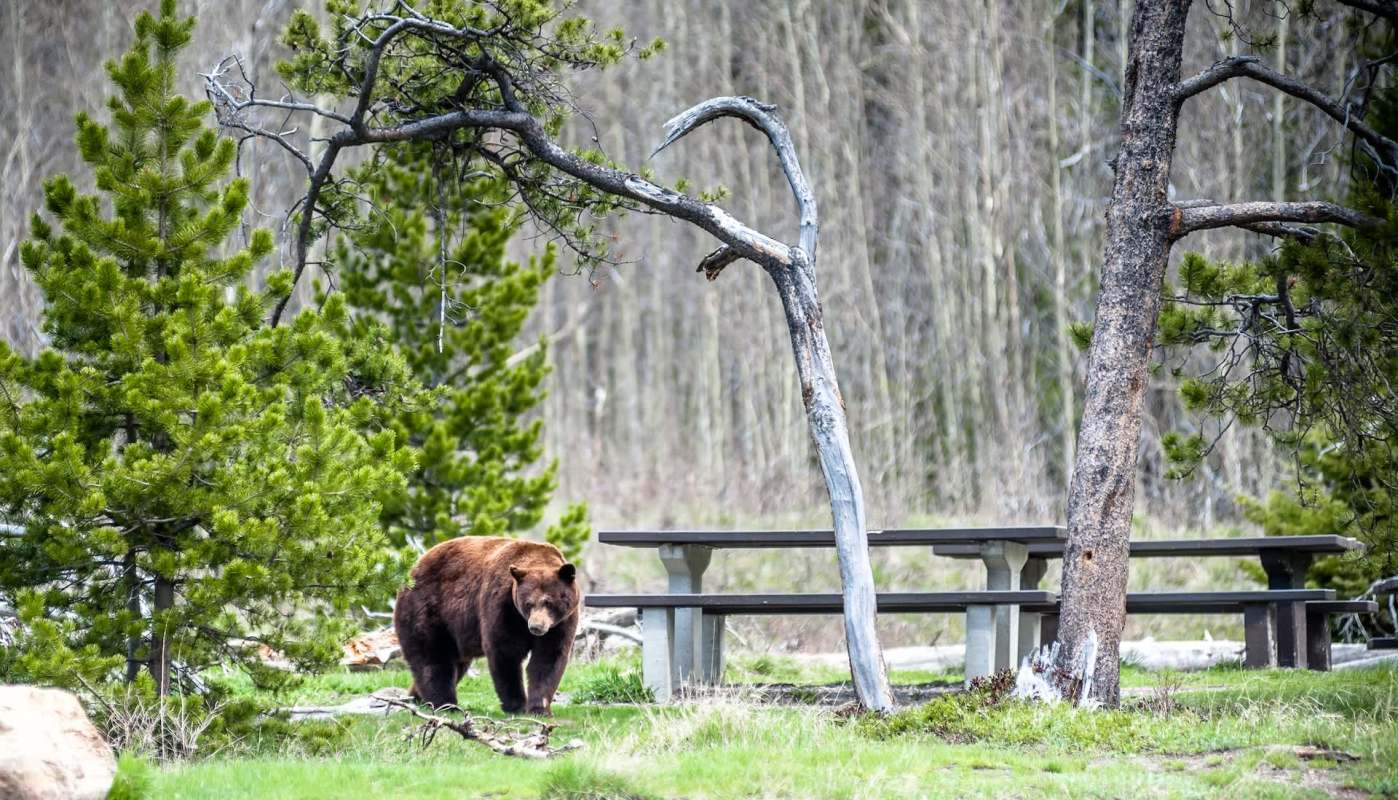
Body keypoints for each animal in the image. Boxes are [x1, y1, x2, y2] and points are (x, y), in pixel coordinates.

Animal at [392, 536, 582, 715]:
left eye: (549, 602)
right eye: (528, 603)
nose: (536, 627)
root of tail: (413, 568)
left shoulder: (561, 623)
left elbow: (548, 658)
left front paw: (539, 708)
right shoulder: (503, 606)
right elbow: (506, 652)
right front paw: (517, 705)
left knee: (455, 663)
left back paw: (417, 697)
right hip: (428, 608)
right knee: (432, 657)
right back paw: (446, 704)